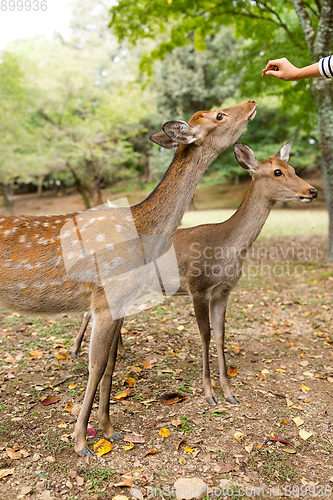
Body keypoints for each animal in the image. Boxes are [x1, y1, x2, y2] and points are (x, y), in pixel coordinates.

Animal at [0, 99, 256, 456]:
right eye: (219, 115)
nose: (251, 103)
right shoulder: (106, 298)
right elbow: (95, 366)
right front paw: (81, 441)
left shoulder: (121, 301)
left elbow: (110, 362)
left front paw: (109, 429)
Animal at [71, 142, 316, 406]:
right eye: (277, 172)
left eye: (293, 168)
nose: (312, 191)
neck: (226, 249)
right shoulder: (198, 287)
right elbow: (205, 335)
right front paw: (209, 393)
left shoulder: (223, 292)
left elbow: (220, 335)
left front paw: (229, 393)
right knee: (90, 311)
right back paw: (75, 350)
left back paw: (119, 351)